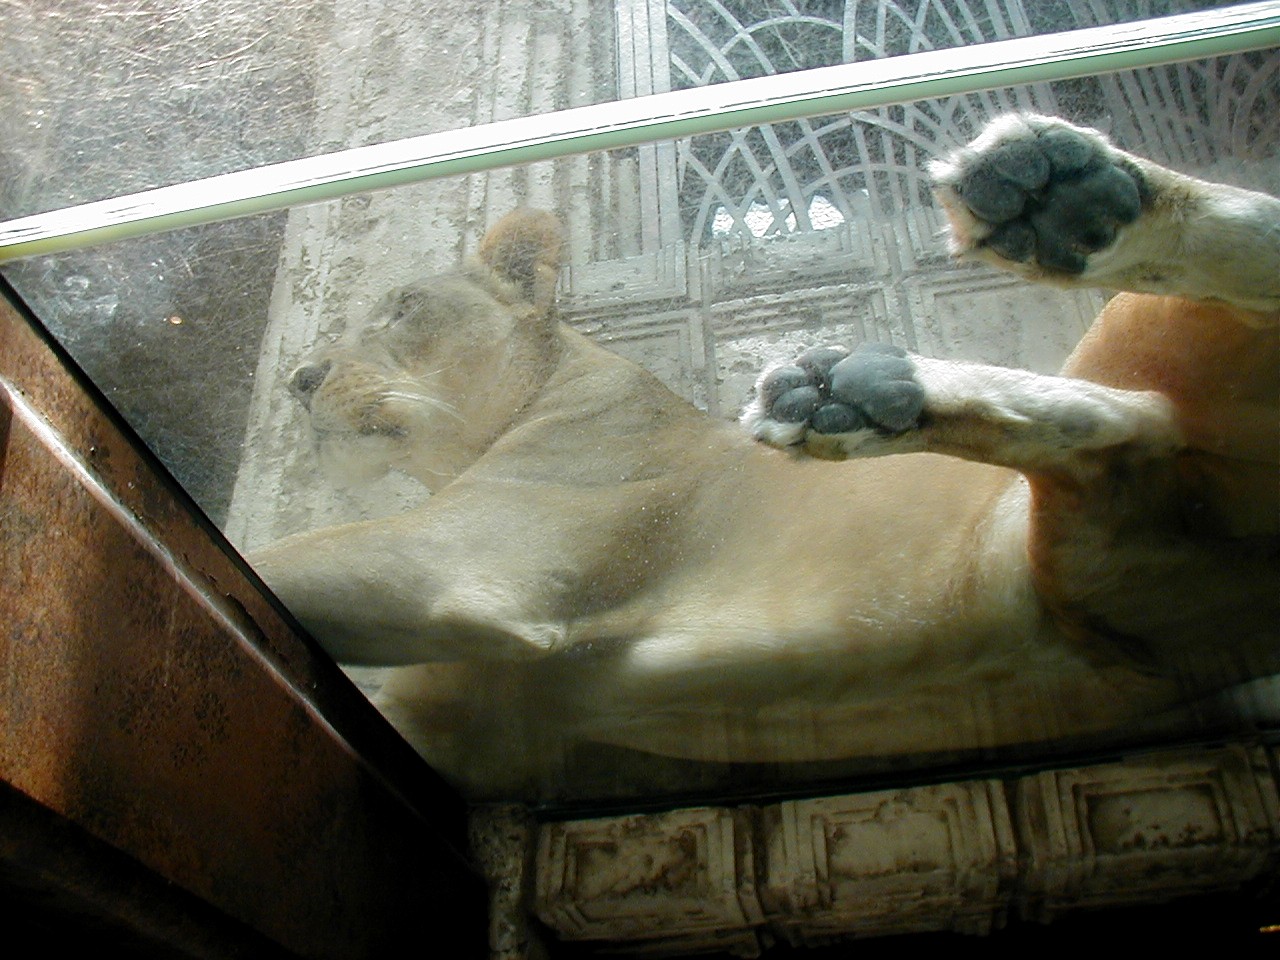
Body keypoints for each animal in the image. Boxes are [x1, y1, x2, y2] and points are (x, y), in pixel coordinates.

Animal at [250, 115, 1279, 800]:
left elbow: (276, 563)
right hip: (1097, 561)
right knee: (1129, 435)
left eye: (401, 308)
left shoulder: (465, 567)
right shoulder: (463, 723)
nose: (298, 379)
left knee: (1195, 329)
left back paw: (1049, 191)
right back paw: (849, 390)